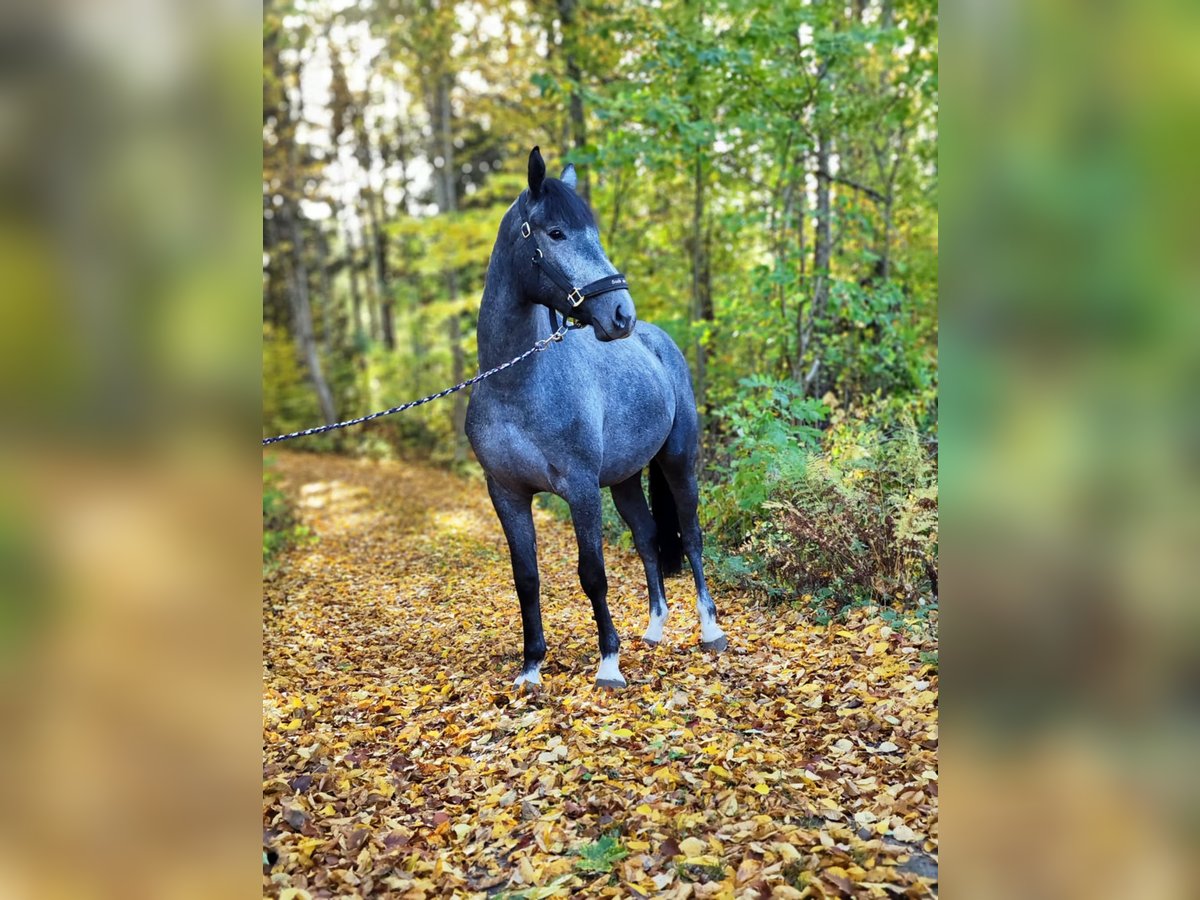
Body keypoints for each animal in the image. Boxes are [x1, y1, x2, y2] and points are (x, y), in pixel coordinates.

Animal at [463, 151, 724, 696]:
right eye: (557, 233)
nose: (621, 313)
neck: (517, 385)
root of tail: (656, 339)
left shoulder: (581, 489)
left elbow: (592, 574)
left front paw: (608, 663)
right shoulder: (507, 495)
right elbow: (527, 579)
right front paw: (531, 668)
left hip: (678, 462)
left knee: (691, 534)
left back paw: (711, 630)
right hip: (623, 479)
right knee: (648, 537)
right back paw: (654, 628)